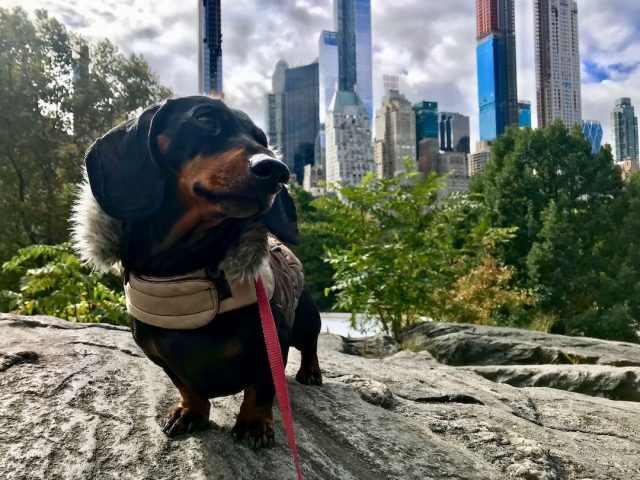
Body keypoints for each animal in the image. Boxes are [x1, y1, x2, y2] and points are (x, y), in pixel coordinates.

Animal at [70, 95, 322, 448]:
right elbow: (186, 386)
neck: (184, 273)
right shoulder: (159, 355)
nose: (277, 171)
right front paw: (191, 413)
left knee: (310, 343)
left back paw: (311, 372)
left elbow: (261, 388)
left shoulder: (273, 338)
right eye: (205, 119)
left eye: (262, 139)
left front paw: (254, 424)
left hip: (305, 319)